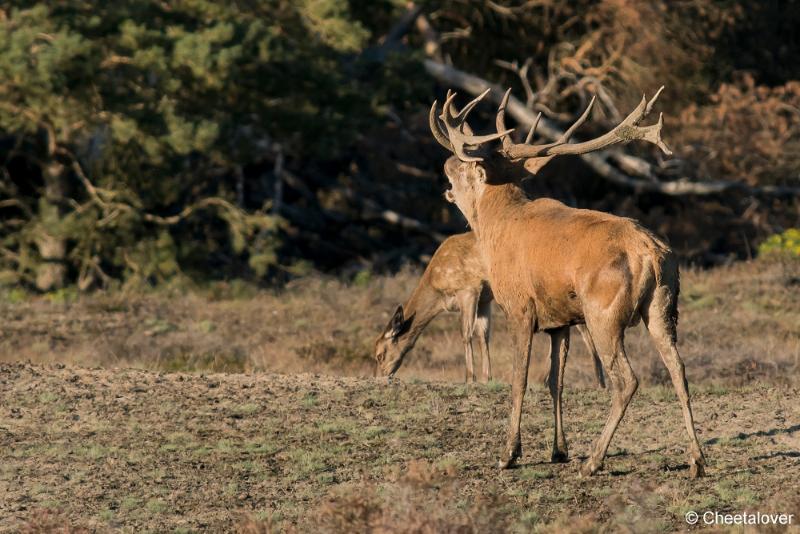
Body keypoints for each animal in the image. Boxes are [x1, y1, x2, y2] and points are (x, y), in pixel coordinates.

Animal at [376, 232, 608, 388]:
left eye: (379, 354)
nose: (381, 376)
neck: (438, 288)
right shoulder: (485, 300)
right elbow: (483, 335)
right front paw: (487, 377)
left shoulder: (469, 289)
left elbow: (466, 333)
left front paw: (470, 378)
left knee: (584, 329)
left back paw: (597, 382)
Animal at [428, 88, 708, 482]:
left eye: (464, 168)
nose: (446, 166)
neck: (495, 227)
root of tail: (653, 253)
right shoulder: (559, 320)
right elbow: (554, 381)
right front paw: (558, 450)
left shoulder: (519, 307)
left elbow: (520, 379)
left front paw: (509, 454)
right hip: (663, 307)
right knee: (678, 370)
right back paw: (696, 459)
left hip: (604, 313)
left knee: (627, 380)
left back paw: (594, 460)